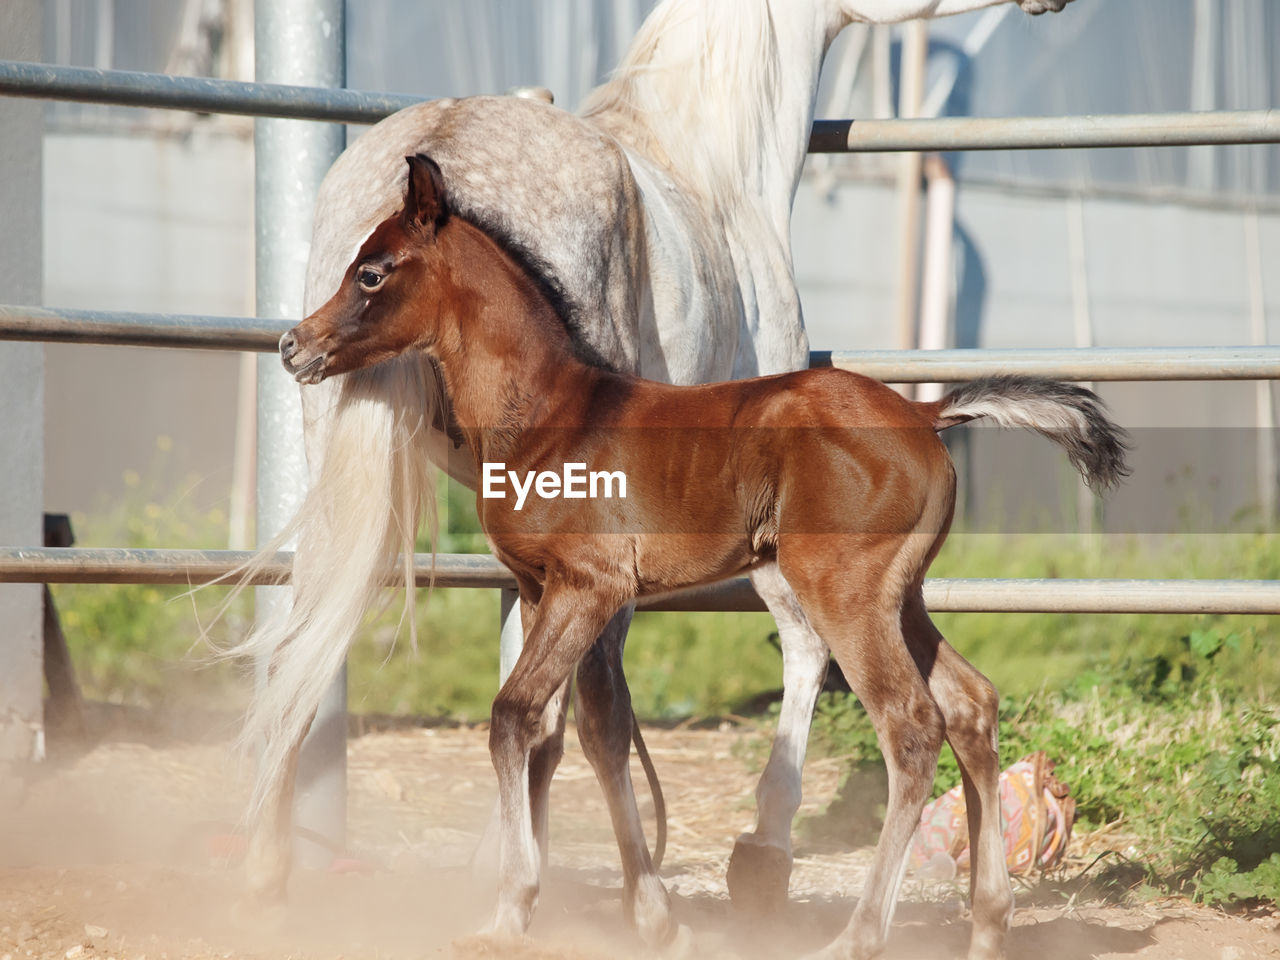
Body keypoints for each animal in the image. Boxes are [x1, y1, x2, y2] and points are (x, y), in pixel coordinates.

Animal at [238, 0, 1070, 952]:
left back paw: (856, 931)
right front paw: (538, 897)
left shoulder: (593, 586)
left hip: (849, 594)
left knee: (909, 725)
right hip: (899, 598)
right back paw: (985, 922)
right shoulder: (544, 587)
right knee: (967, 704)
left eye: (373, 272)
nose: (294, 345)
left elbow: (531, 716)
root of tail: (926, 419)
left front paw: (527, 903)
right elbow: (542, 719)